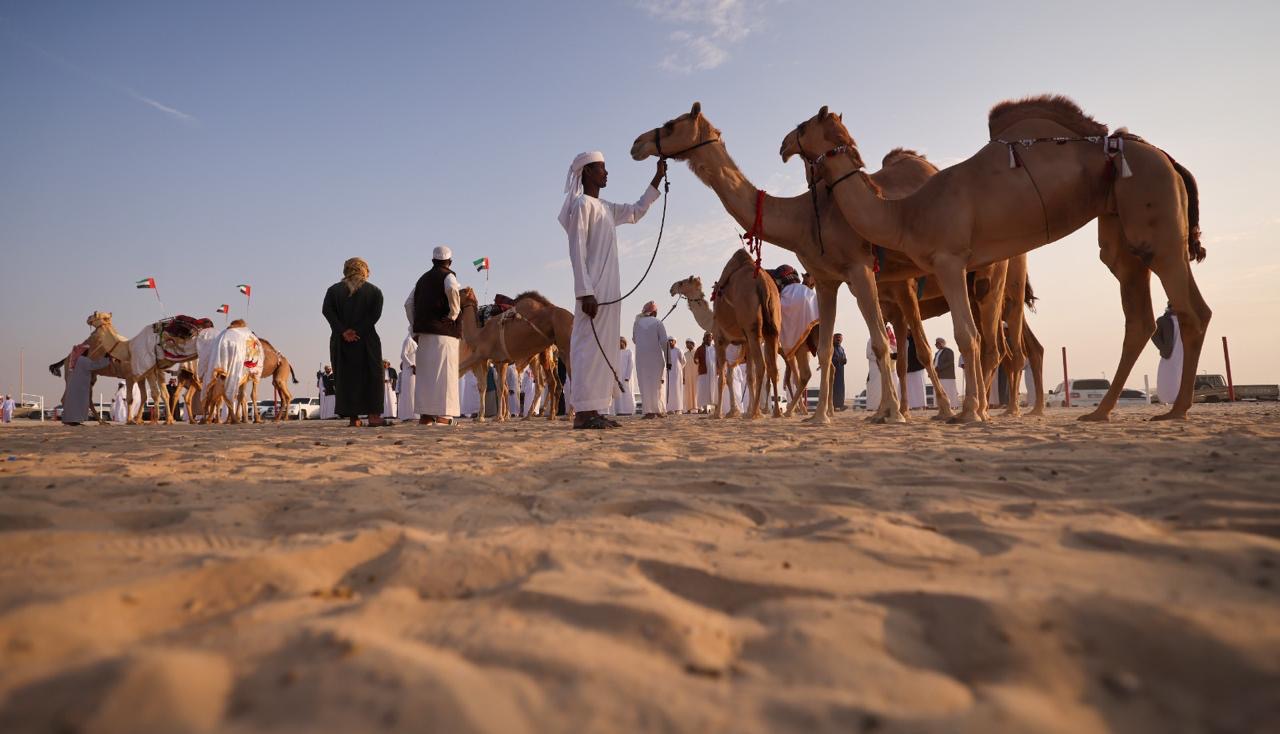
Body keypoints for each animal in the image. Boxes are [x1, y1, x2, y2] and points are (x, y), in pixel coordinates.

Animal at [458, 288, 573, 420]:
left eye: (460, 291)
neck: (479, 335)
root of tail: (571, 317)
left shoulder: (486, 357)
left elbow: (499, 388)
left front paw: (499, 417)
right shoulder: (494, 361)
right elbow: (491, 387)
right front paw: (488, 417)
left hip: (560, 348)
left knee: (558, 380)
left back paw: (562, 414)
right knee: (547, 383)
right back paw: (537, 414)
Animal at [665, 245, 783, 417]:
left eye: (682, 282)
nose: (671, 288)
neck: (711, 320)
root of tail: (762, 282)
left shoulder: (720, 339)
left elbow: (723, 378)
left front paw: (718, 413)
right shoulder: (744, 343)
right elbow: (743, 377)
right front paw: (734, 411)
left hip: (752, 328)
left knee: (763, 367)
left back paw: (757, 412)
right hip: (772, 328)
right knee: (772, 368)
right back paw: (774, 412)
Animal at [778, 94, 1208, 420]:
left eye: (802, 126)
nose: (782, 144)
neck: (907, 214)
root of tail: (1166, 157)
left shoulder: (947, 261)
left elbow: (961, 338)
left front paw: (965, 413)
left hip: (1149, 210)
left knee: (1187, 309)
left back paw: (1172, 409)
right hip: (1119, 227)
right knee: (1140, 313)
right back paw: (1100, 411)